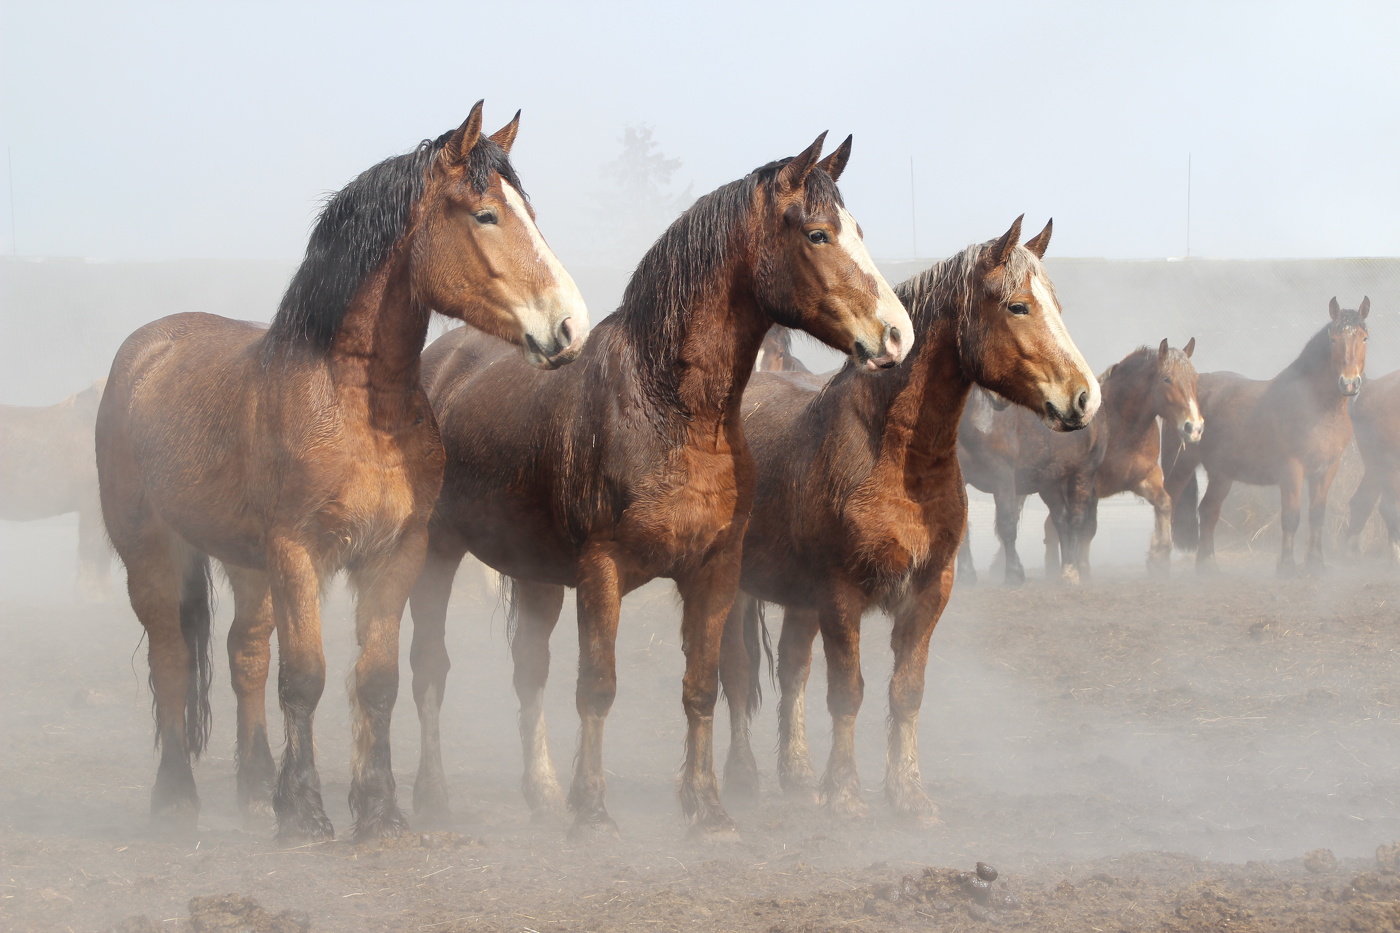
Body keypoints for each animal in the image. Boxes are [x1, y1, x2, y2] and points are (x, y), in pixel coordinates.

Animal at [95, 102, 589, 841]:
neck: (355, 406)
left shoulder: (394, 555)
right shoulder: (299, 553)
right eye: (485, 215)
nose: (569, 327)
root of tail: (145, 350)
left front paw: (378, 810)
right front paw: (303, 813)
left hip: (246, 564)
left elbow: (375, 680)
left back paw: (251, 790)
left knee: (245, 653)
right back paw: (177, 798)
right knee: (172, 657)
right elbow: (305, 677)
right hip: (154, 552)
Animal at [407, 133, 913, 839]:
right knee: (430, 666)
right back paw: (432, 796)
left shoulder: (713, 572)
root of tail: (441, 362)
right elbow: (597, 688)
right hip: (438, 552)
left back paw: (541, 792)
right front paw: (592, 811)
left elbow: (701, 688)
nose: (898, 335)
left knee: (528, 672)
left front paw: (707, 809)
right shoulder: (601, 572)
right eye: (817, 234)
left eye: (858, 230)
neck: (665, 410)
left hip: (536, 574)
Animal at [718, 217, 1099, 820]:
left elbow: (906, 692)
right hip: (737, 588)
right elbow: (847, 692)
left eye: (1056, 304)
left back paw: (797, 774)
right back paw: (743, 776)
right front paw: (845, 793)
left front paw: (908, 794)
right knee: (736, 672)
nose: (1085, 398)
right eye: (1017, 306)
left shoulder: (928, 591)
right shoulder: (841, 595)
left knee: (792, 669)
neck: (896, 459)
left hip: (799, 597)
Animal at [1027, 340, 1202, 582]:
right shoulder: (1091, 488)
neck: (1120, 426)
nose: (1194, 427)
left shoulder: (1145, 478)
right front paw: (1083, 570)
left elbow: (1165, 503)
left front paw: (1158, 557)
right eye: (1167, 379)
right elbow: (1088, 528)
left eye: (1194, 378)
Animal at [1165, 297, 1368, 574]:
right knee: (1168, 505)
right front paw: (1287, 566)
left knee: (1208, 511)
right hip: (1181, 465)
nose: (1349, 383)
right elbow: (1291, 516)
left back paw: (1208, 566)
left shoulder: (1327, 469)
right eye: (1334, 339)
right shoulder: (1292, 468)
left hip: (1221, 473)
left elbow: (1317, 515)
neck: (1315, 405)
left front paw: (1316, 564)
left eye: (1364, 338)